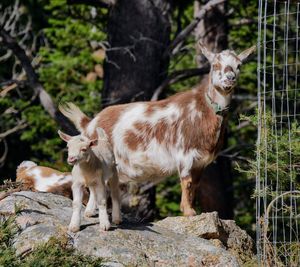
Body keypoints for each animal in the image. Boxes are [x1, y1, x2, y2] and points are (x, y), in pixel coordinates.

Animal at [59, 43, 255, 217]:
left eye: (239, 65)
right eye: (215, 65)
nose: (230, 78)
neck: (203, 110)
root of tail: (90, 123)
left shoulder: (202, 162)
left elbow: (195, 185)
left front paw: (192, 209)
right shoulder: (184, 154)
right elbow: (187, 182)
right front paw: (188, 212)